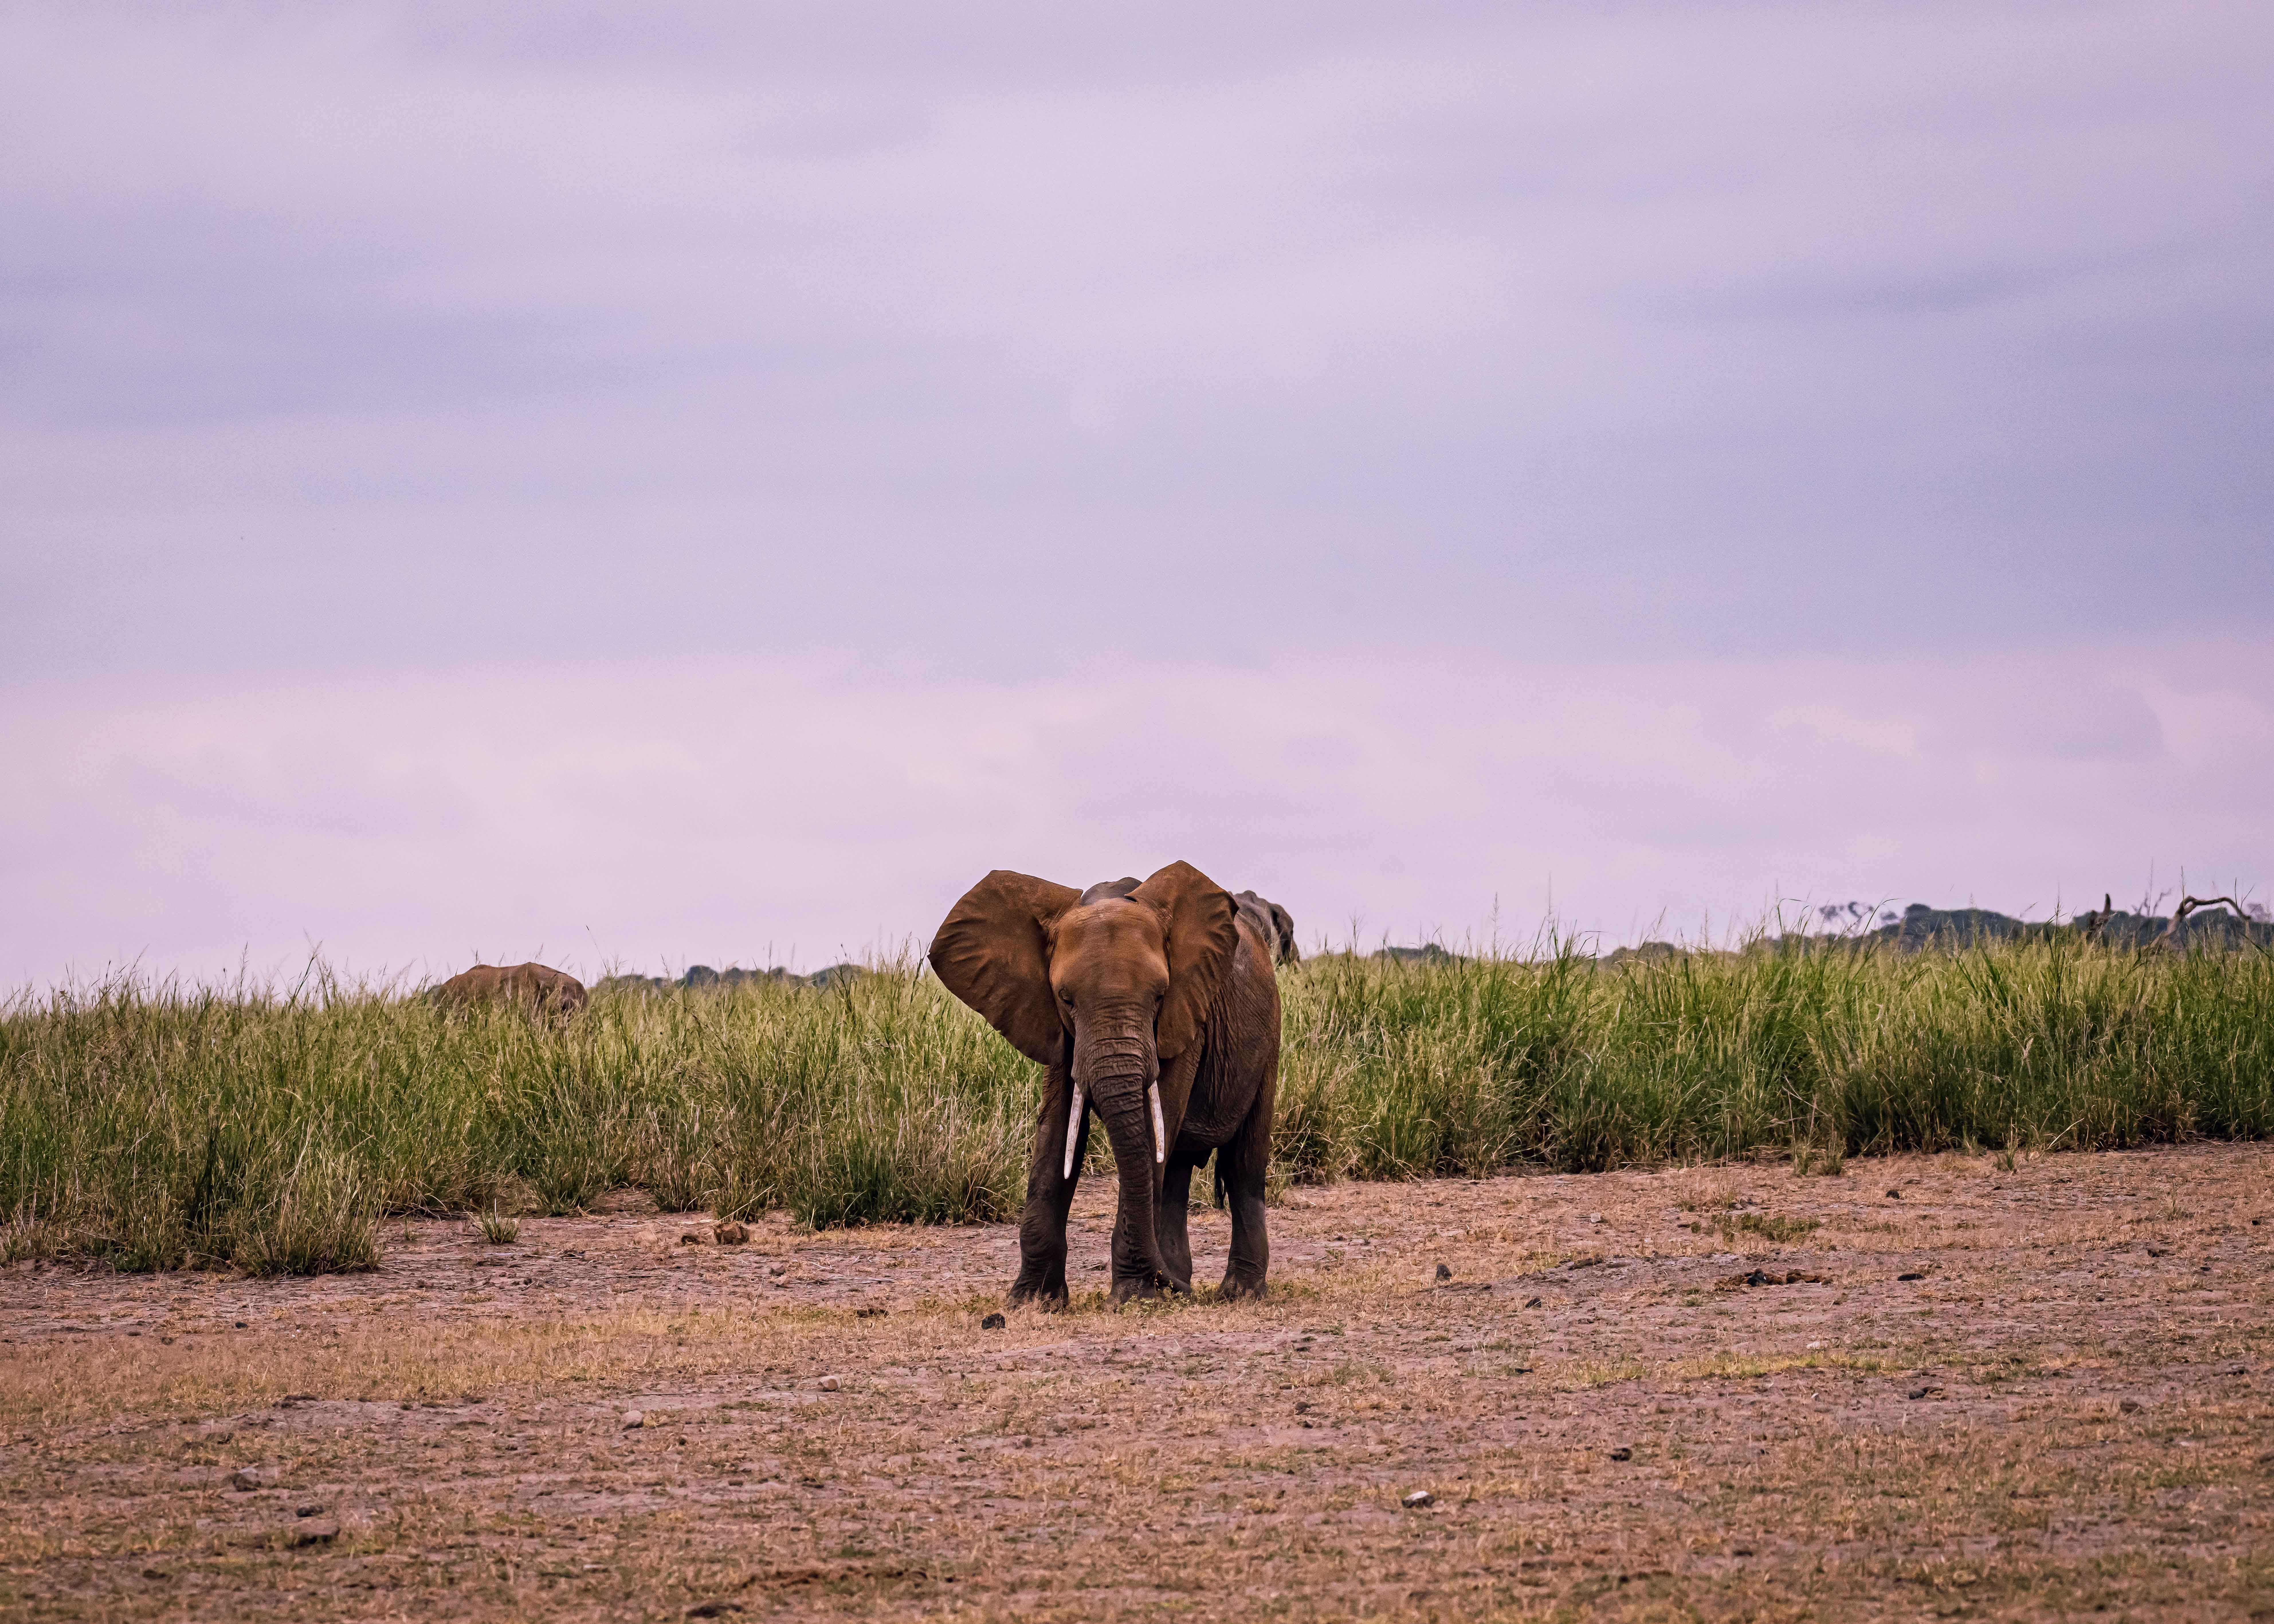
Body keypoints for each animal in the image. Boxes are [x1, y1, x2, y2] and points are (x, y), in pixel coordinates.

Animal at [930, 860, 1281, 1307]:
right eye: (1066, 999)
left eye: (1159, 996)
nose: (1179, 1291)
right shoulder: (1053, 1025)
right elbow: (1056, 1130)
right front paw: (1032, 1302)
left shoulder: (1185, 1013)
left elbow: (1153, 1123)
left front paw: (1133, 1298)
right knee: (1176, 1168)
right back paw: (1179, 1279)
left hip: (1269, 1036)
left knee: (1242, 1163)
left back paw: (1235, 1293)